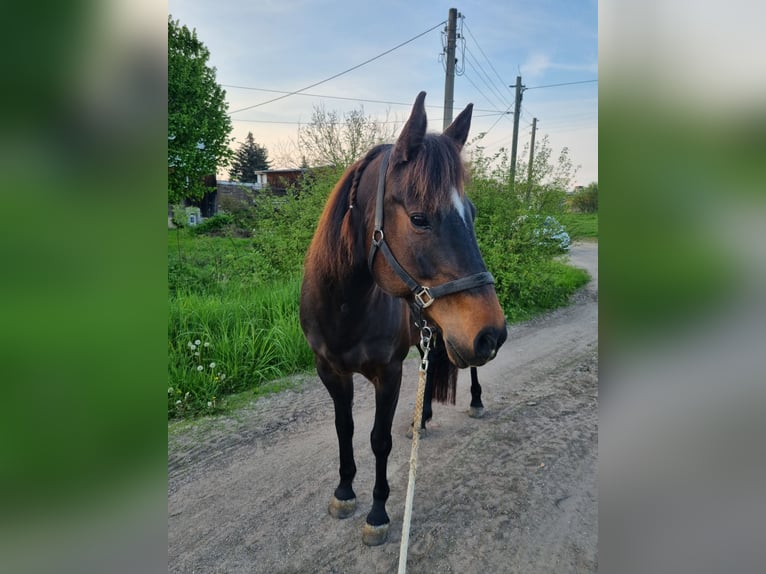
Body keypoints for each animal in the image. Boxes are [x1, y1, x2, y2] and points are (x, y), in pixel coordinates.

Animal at [302, 92, 510, 548]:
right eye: (419, 218)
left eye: (471, 214)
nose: (492, 335)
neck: (346, 308)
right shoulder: (330, 371)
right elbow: (344, 428)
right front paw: (344, 492)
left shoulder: (389, 373)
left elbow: (379, 440)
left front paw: (378, 514)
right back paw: (423, 417)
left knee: (466, 372)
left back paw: (474, 402)